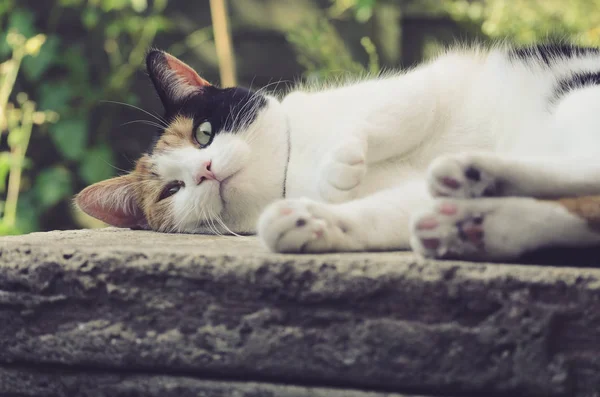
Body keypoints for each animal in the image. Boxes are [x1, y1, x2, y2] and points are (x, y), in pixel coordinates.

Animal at [75, 44, 600, 260]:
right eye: (171, 190)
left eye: (204, 134)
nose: (204, 169)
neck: (294, 170)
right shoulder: (405, 195)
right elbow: (388, 211)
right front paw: (315, 222)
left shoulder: (431, 82)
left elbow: (391, 114)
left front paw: (341, 166)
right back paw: (474, 215)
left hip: (578, 96)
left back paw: (472, 174)